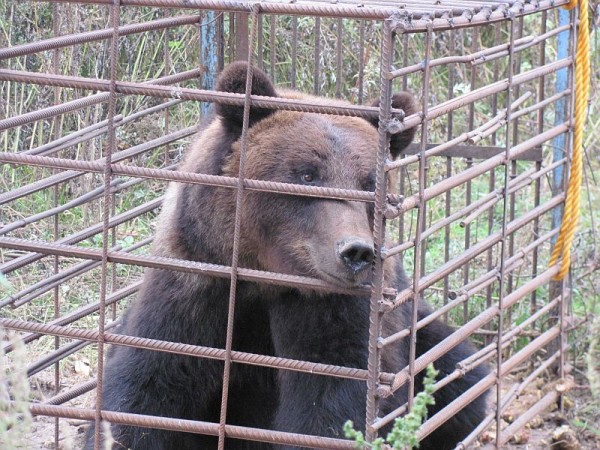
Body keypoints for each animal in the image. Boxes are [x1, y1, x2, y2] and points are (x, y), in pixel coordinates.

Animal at [84, 60, 488, 450]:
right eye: (308, 174)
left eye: (369, 184)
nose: (356, 251)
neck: (263, 278)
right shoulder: (195, 285)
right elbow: (145, 387)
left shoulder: (334, 312)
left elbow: (331, 402)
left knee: (458, 377)